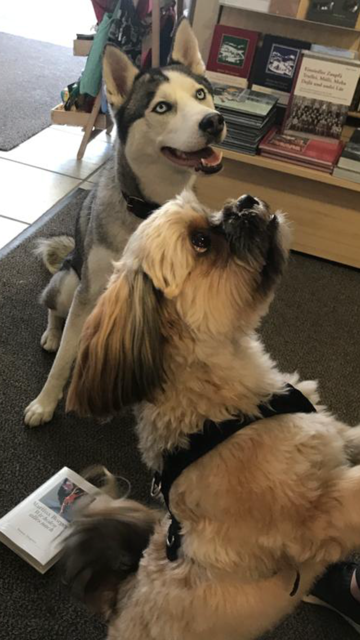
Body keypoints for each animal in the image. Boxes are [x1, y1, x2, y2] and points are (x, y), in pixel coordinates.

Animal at [25, 20, 226, 428]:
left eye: (201, 94)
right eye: (162, 107)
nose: (213, 121)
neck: (150, 210)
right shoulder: (88, 294)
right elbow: (64, 361)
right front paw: (45, 403)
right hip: (69, 283)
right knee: (55, 311)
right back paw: (52, 335)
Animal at [62, 191, 360, 640]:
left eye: (214, 209)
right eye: (201, 241)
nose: (246, 201)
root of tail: (122, 600)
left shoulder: (335, 437)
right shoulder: (318, 515)